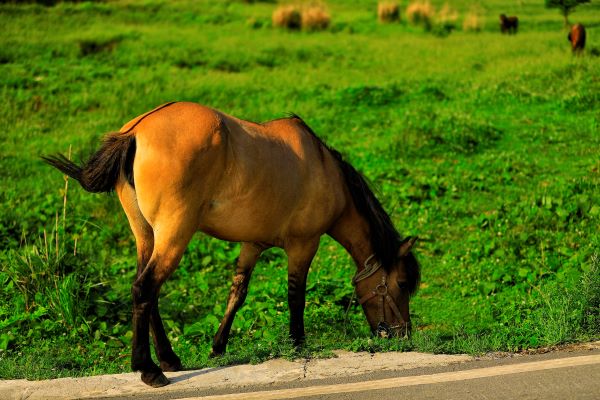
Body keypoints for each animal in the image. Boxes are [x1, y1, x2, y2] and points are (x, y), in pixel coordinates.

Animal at [42, 102, 420, 388]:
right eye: (401, 284)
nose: (403, 335)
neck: (323, 168)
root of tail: (136, 131)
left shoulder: (252, 244)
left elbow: (237, 293)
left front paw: (218, 347)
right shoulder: (303, 245)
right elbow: (295, 295)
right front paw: (297, 343)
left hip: (146, 236)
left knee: (147, 293)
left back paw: (168, 358)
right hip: (174, 235)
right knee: (145, 288)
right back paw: (149, 369)